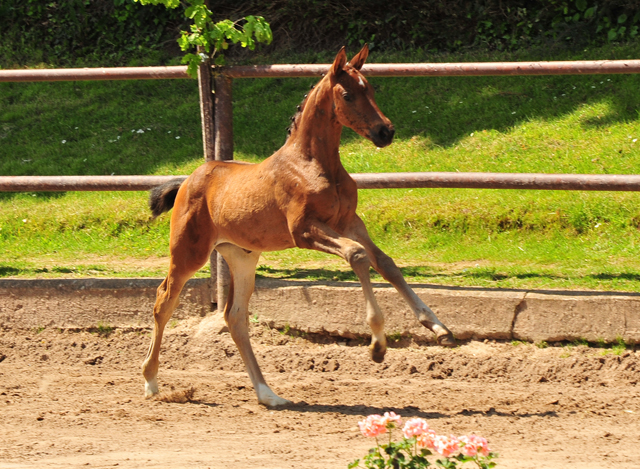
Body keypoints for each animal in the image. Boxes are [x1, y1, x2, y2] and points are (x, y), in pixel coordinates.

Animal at [145, 45, 456, 408]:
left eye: (371, 89)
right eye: (348, 95)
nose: (385, 132)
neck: (314, 163)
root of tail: (186, 181)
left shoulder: (349, 222)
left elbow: (386, 263)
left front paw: (439, 328)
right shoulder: (305, 230)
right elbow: (358, 256)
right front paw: (378, 345)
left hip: (241, 256)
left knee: (235, 317)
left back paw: (268, 394)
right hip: (188, 252)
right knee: (164, 301)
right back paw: (151, 381)